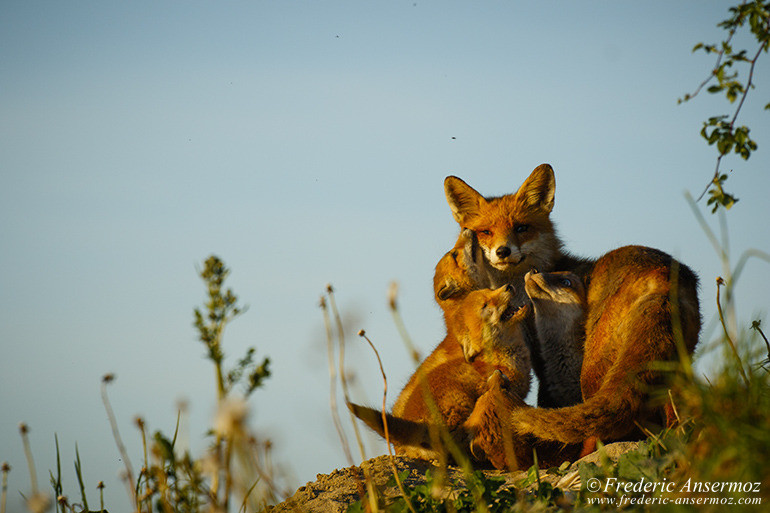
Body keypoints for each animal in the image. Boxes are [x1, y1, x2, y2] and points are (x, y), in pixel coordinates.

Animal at [436, 164, 700, 464]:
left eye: (521, 228)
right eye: (486, 232)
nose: (503, 251)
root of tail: (661, 274)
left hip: (597, 368)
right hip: (671, 360)